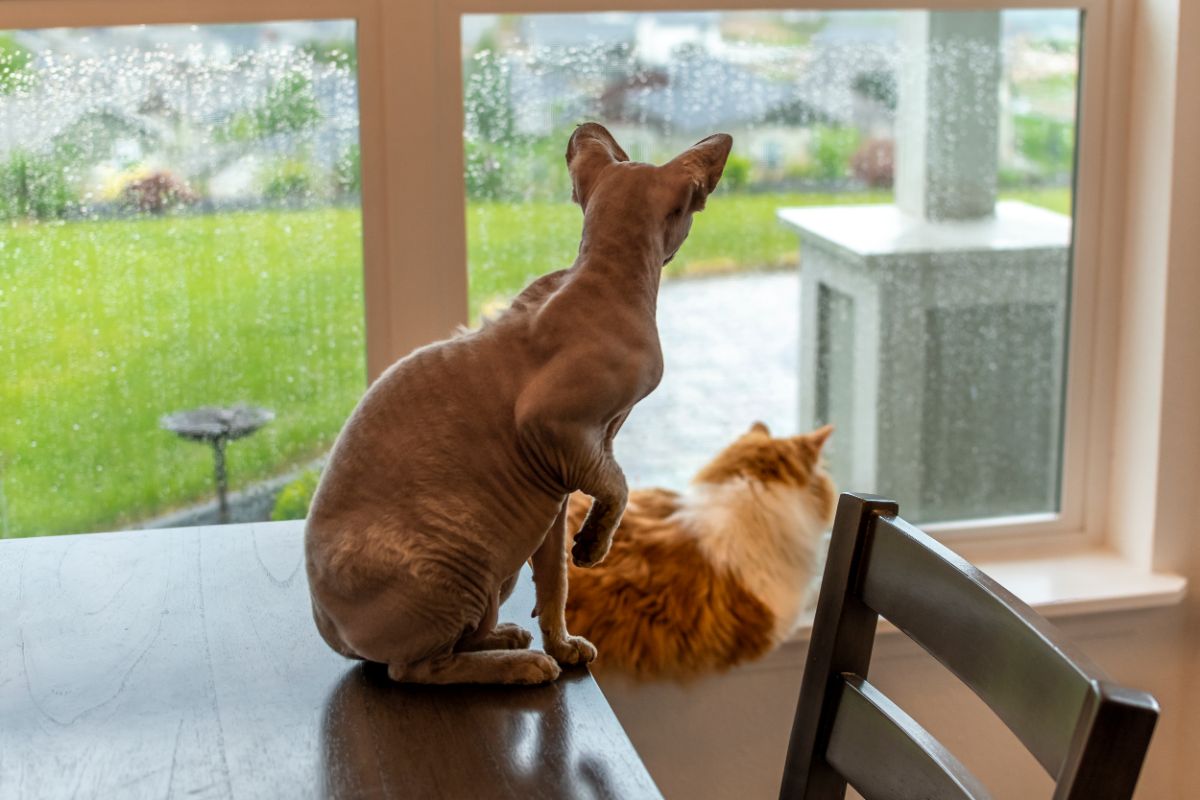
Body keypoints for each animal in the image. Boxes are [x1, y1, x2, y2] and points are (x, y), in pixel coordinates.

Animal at [302, 122, 729, 686]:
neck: (601, 273)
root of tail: (329, 629)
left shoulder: (560, 484)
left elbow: (555, 580)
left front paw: (563, 641)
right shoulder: (551, 427)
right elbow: (619, 488)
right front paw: (593, 547)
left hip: (506, 553)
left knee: (459, 635)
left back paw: (509, 638)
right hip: (460, 560)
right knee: (415, 668)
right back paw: (518, 665)